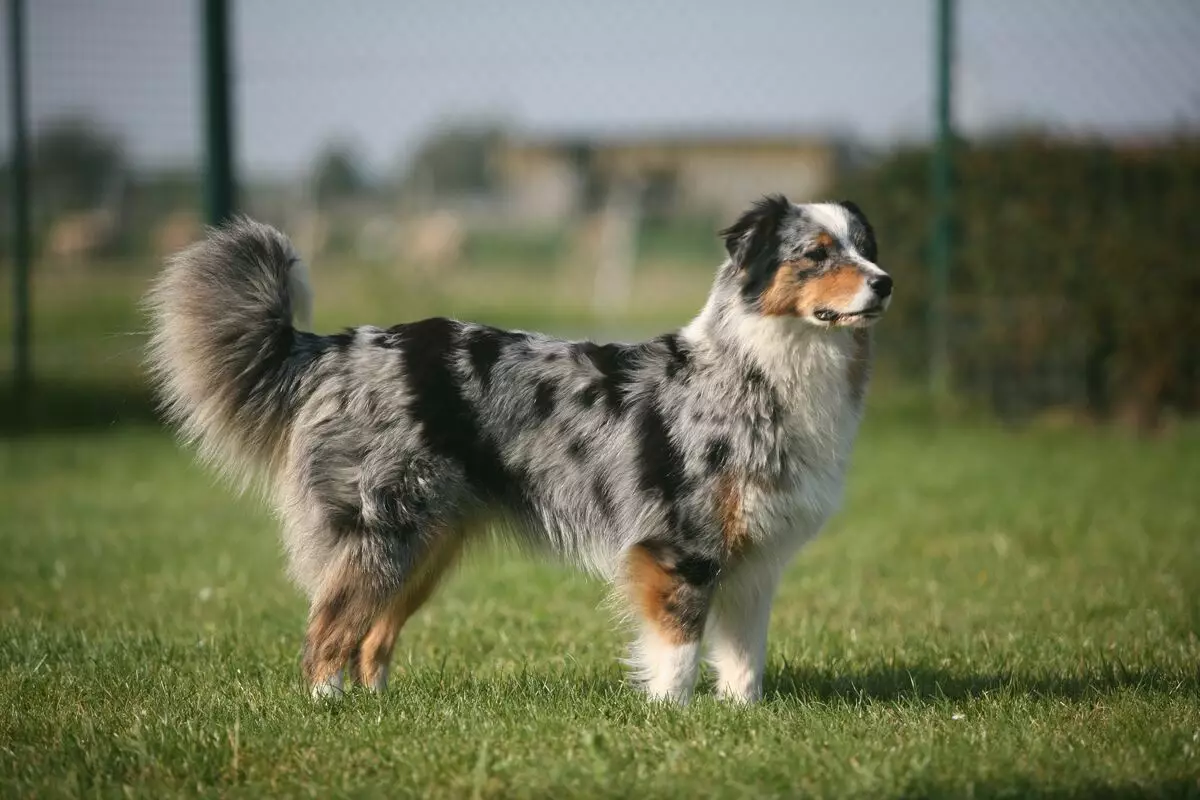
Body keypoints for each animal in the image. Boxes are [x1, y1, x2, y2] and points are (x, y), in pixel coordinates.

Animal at [145, 195, 892, 705]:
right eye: (815, 253)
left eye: (864, 246)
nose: (885, 282)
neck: (766, 367)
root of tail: (336, 347)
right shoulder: (682, 547)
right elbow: (678, 651)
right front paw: (673, 720)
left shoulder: (755, 561)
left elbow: (743, 659)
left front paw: (741, 718)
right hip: (381, 531)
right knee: (328, 629)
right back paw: (329, 706)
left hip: (427, 545)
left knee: (373, 635)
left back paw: (377, 708)